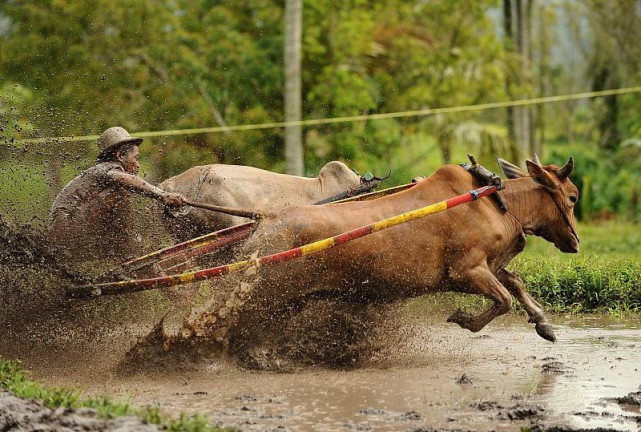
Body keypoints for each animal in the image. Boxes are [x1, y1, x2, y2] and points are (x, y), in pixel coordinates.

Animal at [182, 157, 576, 346]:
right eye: (572, 197)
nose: (575, 243)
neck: (495, 200)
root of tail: (265, 221)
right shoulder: (467, 271)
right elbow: (503, 301)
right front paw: (462, 319)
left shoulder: (491, 267)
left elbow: (516, 285)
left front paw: (544, 323)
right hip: (261, 291)